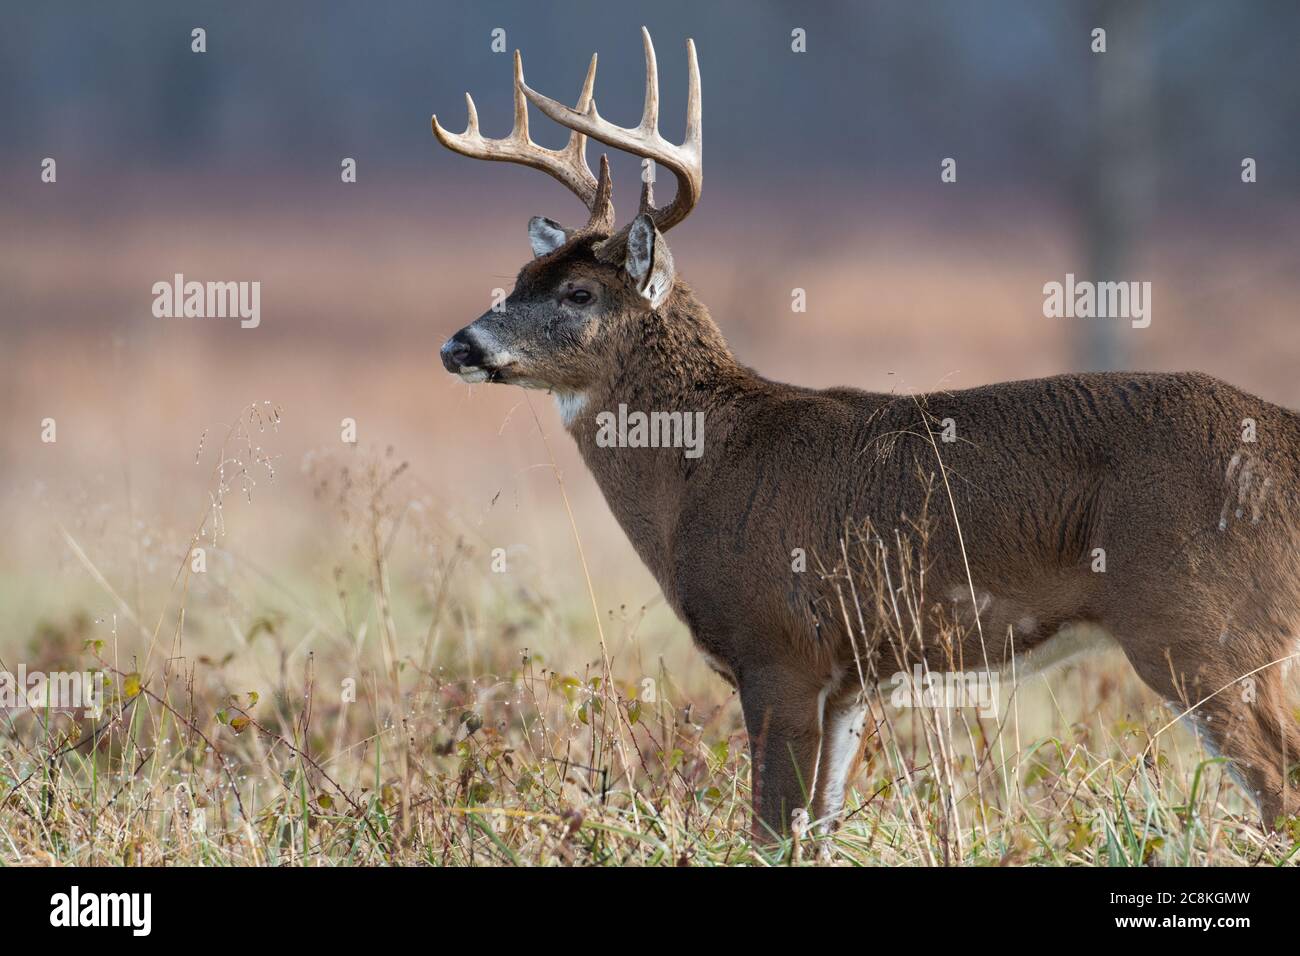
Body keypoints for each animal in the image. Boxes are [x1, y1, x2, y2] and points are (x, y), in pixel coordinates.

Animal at [433, 28, 1300, 839]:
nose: (458, 346)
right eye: (518, 280)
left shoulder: (778, 650)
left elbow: (769, 830)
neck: (703, 467)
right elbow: (819, 826)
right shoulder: (850, 680)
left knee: (1279, 786)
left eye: (578, 293)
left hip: (1203, 627)